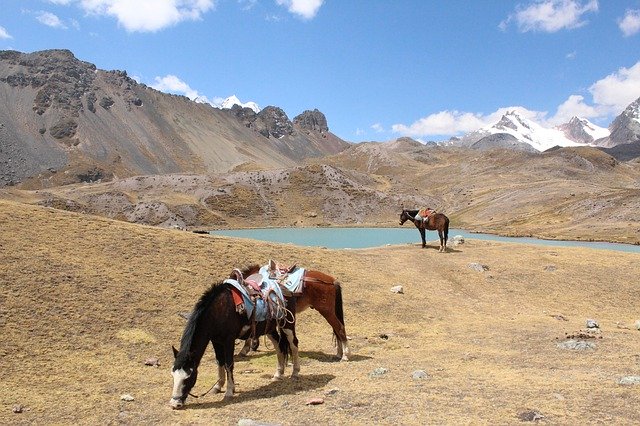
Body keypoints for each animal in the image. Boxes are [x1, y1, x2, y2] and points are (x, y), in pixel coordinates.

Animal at [170, 266, 300, 410]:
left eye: (189, 376)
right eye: (173, 375)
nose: (175, 404)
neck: (218, 312)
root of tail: (286, 290)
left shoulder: (229, 340)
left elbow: (229, 364)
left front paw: (229, 391)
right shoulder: (215, 340)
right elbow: (220, 362)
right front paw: (217, 387)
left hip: (287, 325)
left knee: (293, 344)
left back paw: (295, 372)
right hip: (270, 329)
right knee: (279, 346)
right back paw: (278, 374)